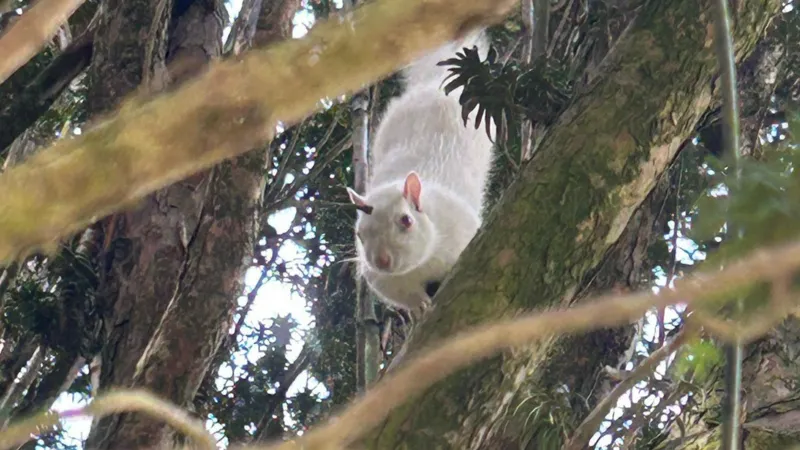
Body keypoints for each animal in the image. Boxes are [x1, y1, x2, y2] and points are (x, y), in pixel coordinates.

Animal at [346, 30, 495, 316]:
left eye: (406, 220)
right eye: (359, 233)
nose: (382, 260)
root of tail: (434, 84)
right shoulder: (385, 281)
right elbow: (402, 294)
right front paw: (419, 306)